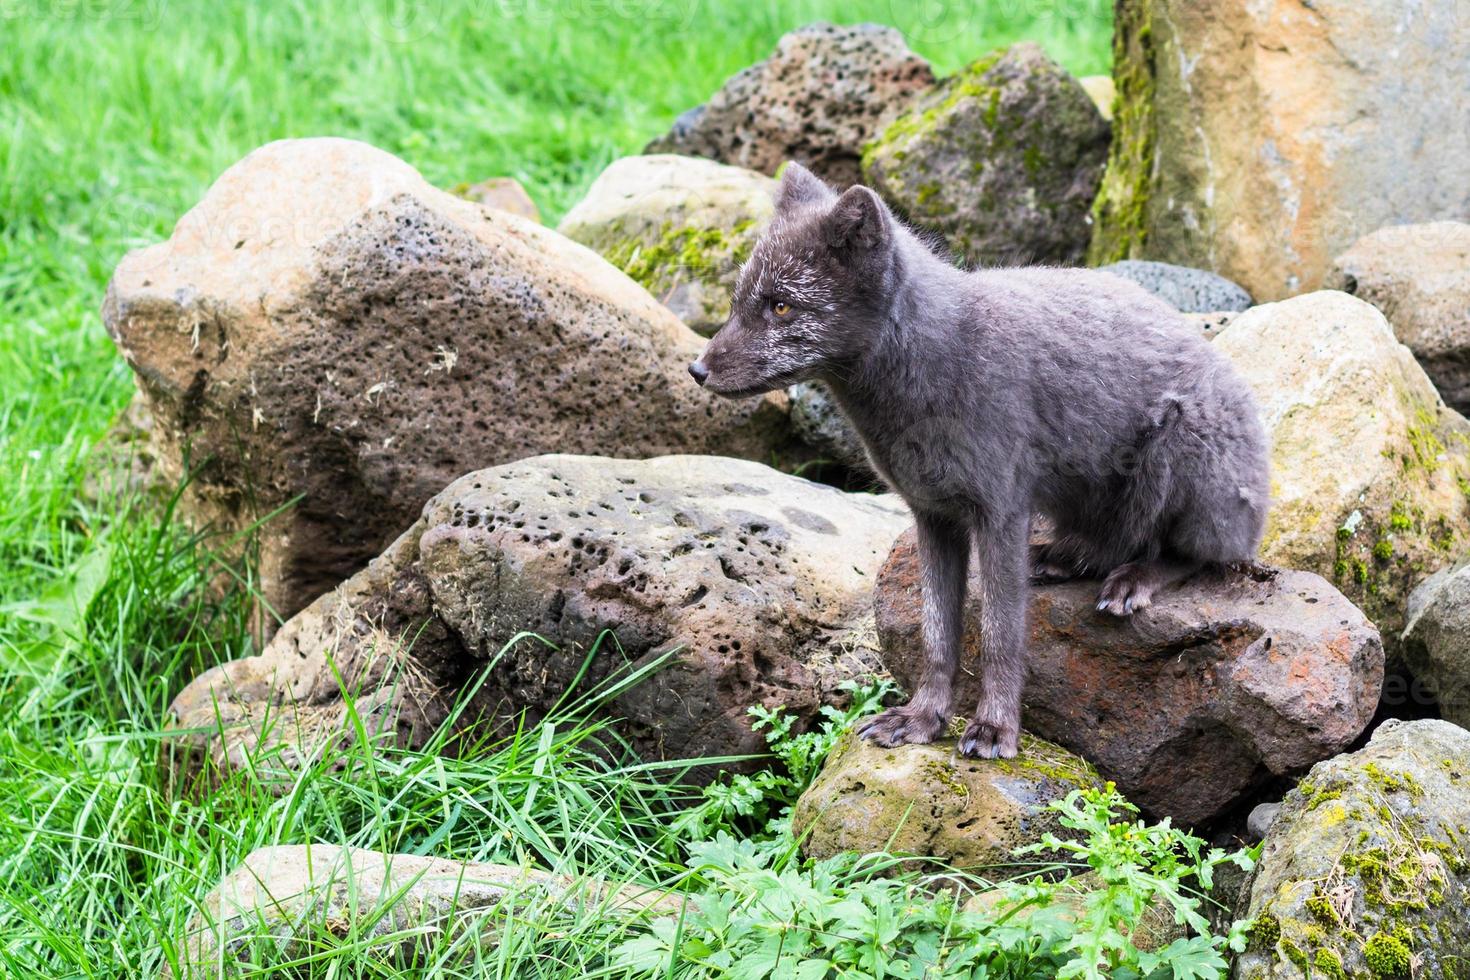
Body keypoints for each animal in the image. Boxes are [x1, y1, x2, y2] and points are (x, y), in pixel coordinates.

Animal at [685, 163, 1264, 758]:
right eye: (737, 301)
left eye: (781, 306)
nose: (696, 370)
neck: (933, 362)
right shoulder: (933, 515)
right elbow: (937, 634)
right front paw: (922, 718)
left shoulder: (1001, 512)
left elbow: (998, 635)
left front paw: (995, 728)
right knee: (1109, 545)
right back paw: (1063, 558)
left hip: (1178, 449)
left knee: (1198, 554)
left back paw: (1135, 580)